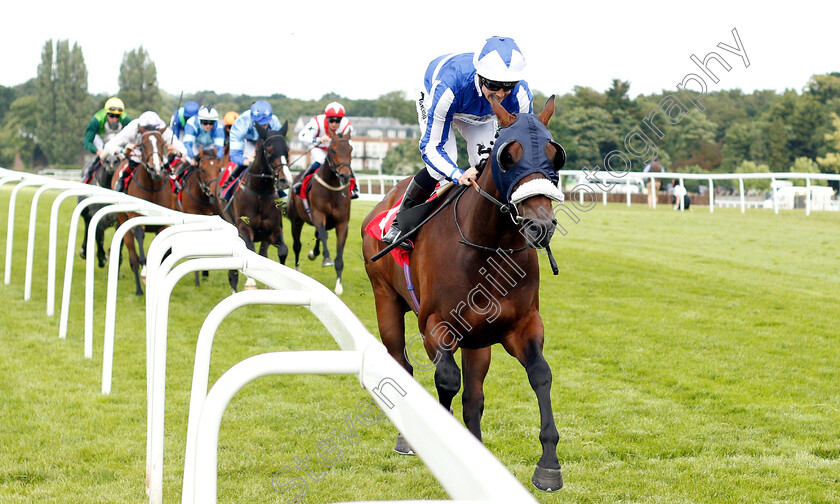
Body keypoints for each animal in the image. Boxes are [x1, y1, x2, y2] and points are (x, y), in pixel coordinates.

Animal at [110, 128, 178, 296]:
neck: (152, 189)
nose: (156, 169)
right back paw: (139, 289)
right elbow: (140, 242)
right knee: (133, 257)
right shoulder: (137, 219)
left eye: (162, 143)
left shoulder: (164, 224)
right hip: (124, 223)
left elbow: (164, 255)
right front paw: (145, 271)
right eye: (143, 144)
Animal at [215, 120, 290, 292]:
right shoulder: (244, 228)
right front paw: (250, 282)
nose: (285, 180)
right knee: (234, 270)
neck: (260, 193)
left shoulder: (274, 230)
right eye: (269, 150)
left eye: (287, 149)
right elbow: (249, 251)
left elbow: (283, 251)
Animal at [286, 132, 352, 294]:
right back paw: (298, 268)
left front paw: (338, 286)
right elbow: (323, 235)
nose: (345, 176)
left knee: (317, 236)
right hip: (296, 221)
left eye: (350, 149)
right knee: (297, 245)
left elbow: (339, 252)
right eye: (333, 150)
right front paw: (326, 259)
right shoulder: (317, 215)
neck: (332, 190)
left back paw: (314, 253)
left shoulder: (342, 223)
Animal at [362, 95, 568, 492]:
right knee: (402, 364)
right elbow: (446, 379)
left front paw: (548, 464)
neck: (487, 247)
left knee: (473, 395)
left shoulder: (520, 326)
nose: (541, 225)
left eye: (555, 155)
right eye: (509, 155)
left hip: (478, 339)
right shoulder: (435, 325)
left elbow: (540, 374)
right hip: (385, 300)